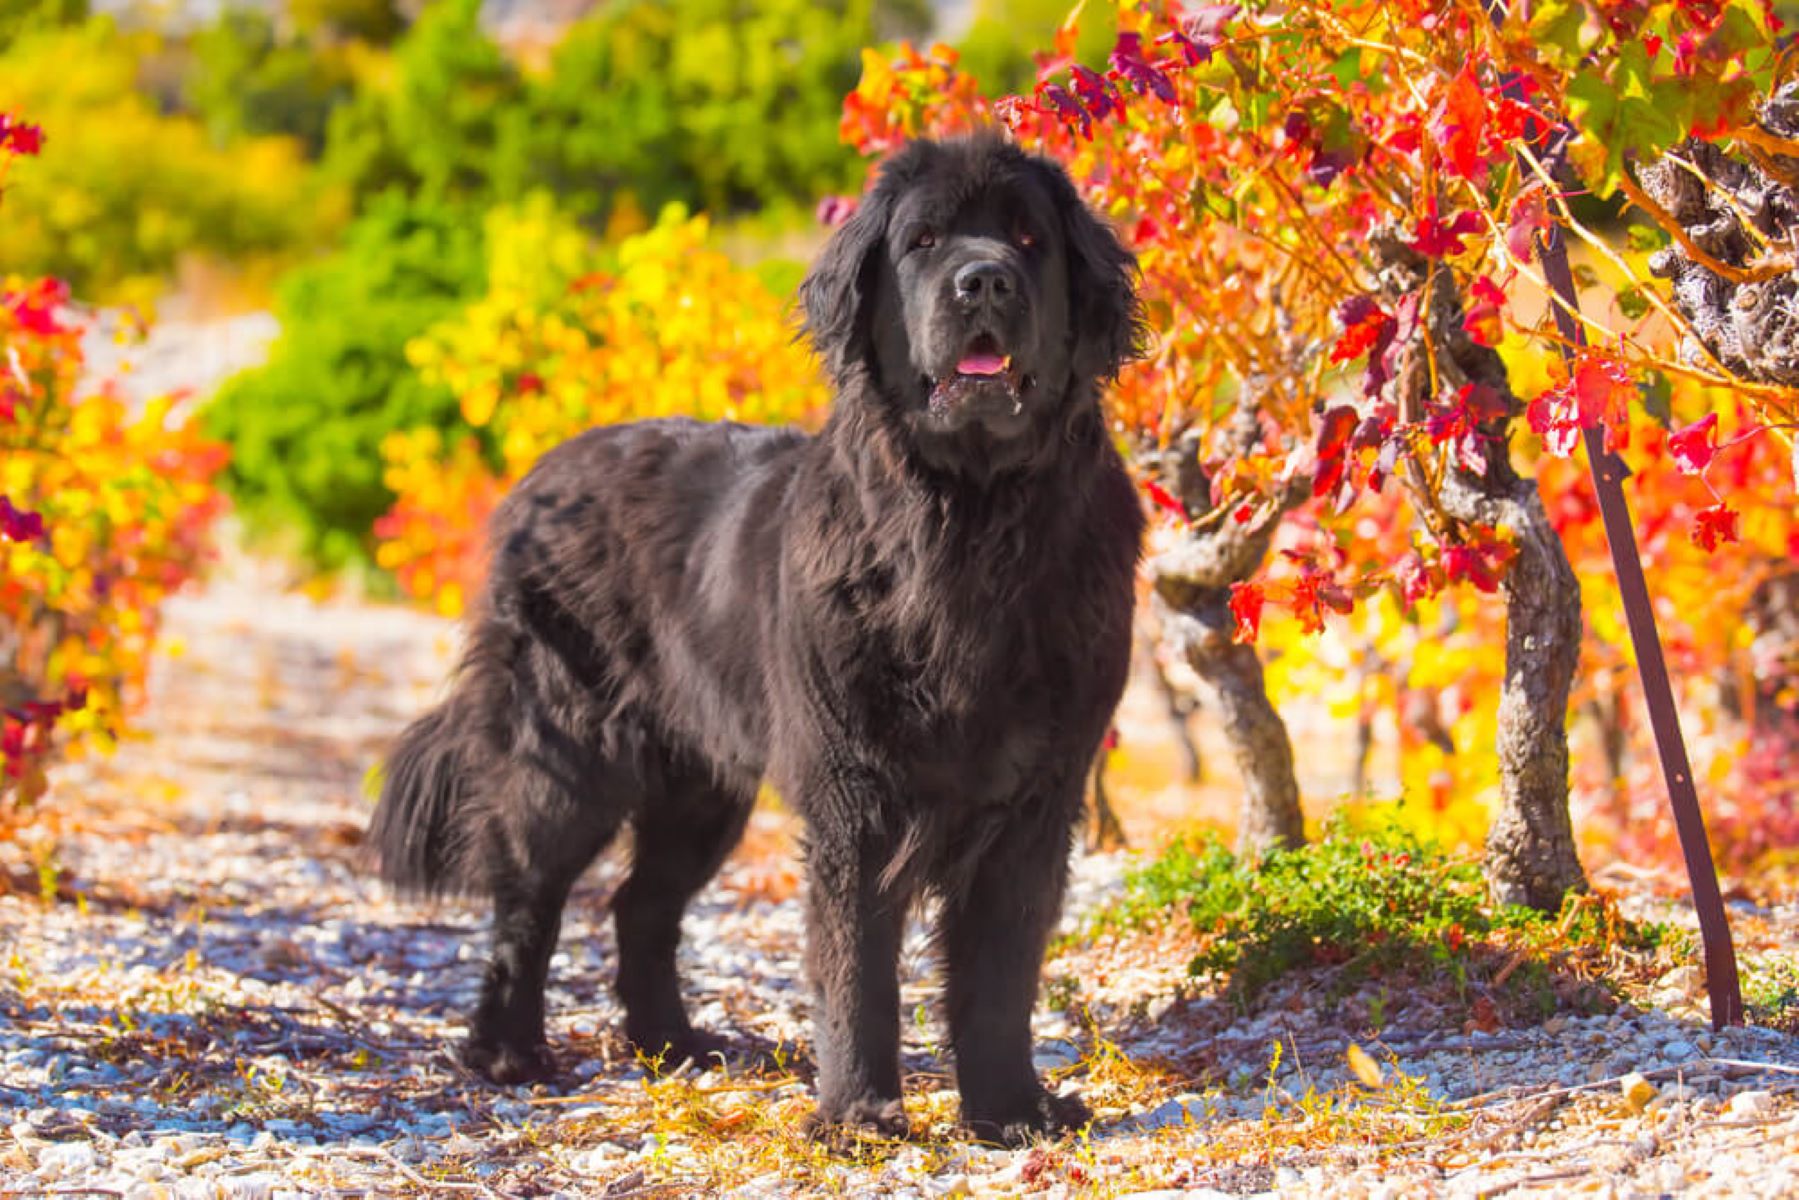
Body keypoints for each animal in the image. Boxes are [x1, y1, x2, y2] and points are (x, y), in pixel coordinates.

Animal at [370, 134, 1144, 1144]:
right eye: (924, 240)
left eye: (1026, 238)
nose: (983, 281)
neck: (965, 526)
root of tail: (543, 471)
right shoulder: (854, 790)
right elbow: (855, 964)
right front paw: (858, 1116)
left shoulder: (1034, 795)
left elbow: (1001, 969)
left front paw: (1010, 1110)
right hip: (564, 750)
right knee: (527, 898)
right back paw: (507, 1052)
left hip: (700, 782)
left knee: (640, 904)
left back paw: (673, 1046)